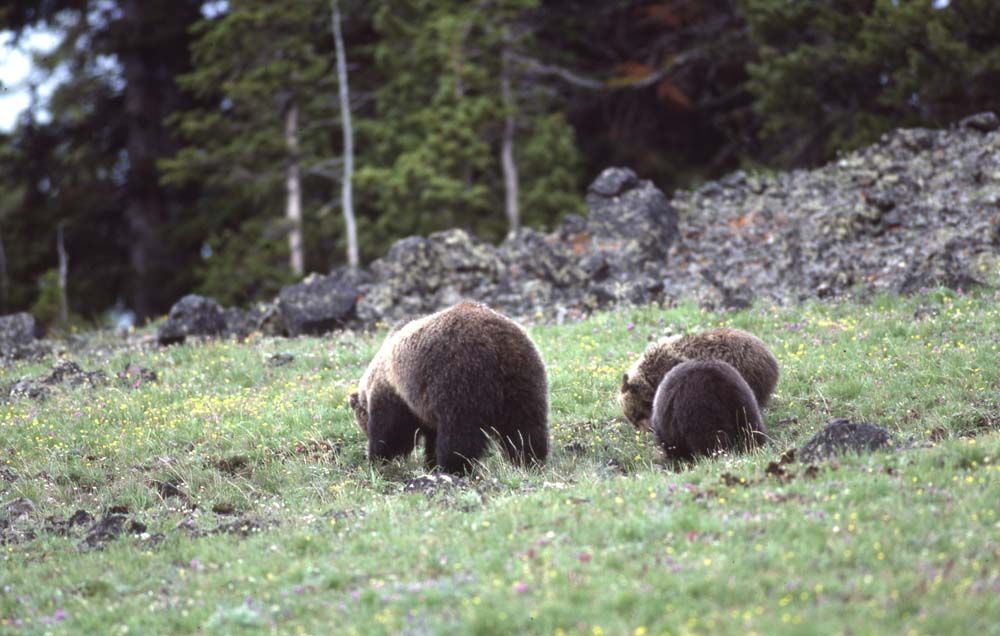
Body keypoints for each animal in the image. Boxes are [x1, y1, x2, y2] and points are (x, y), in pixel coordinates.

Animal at [348, 300, 549, 474]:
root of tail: (496, 343)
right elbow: (430, 435)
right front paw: (430, 462)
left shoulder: (397, 395)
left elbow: (391, 431)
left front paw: (376, 458)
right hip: (524, 377)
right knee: (526, 425)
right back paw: (530, 460)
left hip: (459, 378)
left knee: (459, 433)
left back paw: (453, 467)